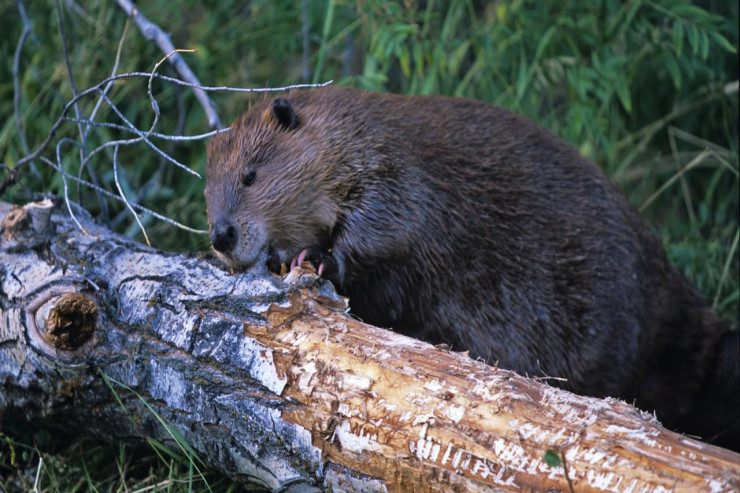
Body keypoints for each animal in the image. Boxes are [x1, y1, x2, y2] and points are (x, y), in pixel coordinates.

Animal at [205, 86, 736, 448]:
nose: (220, 235)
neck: (349, 131)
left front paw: (314, 257)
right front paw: (281, 257)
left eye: (250, 175)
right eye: (208, 189)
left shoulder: (396, 168)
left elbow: (390, 225)